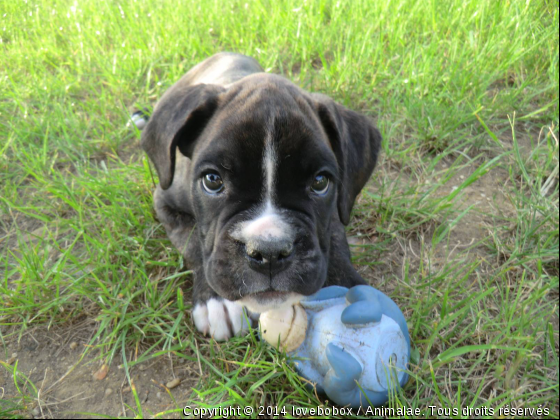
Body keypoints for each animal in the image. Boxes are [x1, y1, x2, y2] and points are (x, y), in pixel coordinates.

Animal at [139, 52, 380, 342]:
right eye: (212, 180)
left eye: (320, 182)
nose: (269, 252)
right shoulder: (165, 203)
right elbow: (194, 242)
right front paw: (217, 302)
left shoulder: (334, 207)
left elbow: (335, 240)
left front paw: (347, 287)